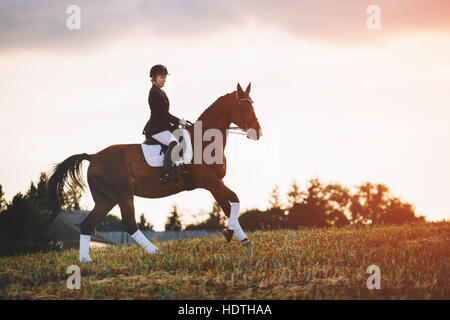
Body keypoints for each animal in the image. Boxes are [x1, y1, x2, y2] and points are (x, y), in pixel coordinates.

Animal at [47, 82, 262, 260]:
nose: (258, 132)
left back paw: (85, 260)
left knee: (87, 224)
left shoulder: (214, 183)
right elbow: (235, 198)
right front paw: (230, 232)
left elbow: (229, 206)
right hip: (123, 195)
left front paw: (242, 239)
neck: (205, 141)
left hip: (106, 199)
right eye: (245, 107)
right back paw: (156, 252)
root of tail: (93, 157)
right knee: (130, 224)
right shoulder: (210, 181)